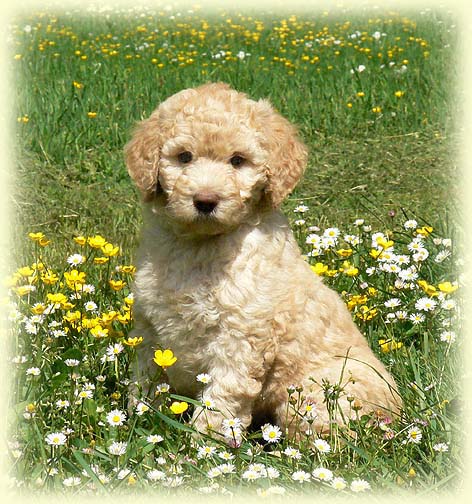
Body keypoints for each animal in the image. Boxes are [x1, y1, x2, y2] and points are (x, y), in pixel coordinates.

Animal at [125, 82, 402, 438]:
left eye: (237, 161)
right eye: (184, 157)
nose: (205, 201)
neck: (200, 245)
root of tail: (397, 413)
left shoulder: (240, 334)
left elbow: (222, 396)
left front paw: (204, 441)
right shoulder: (150, 328)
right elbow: (147, 380)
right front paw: (139, 424)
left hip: (319, 391)